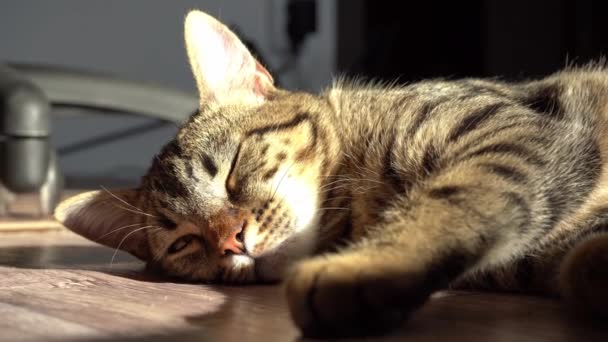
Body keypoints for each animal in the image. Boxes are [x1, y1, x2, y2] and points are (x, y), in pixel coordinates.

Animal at [55, 10, 608, 336]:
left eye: (232, 170)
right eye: (184, 241)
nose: (232, 241)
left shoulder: (511, 132)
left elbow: (452, 197)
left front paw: (363, 267)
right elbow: (579, 260)